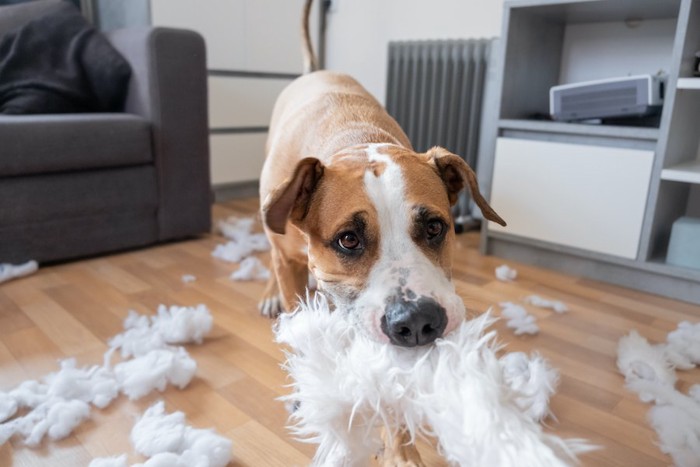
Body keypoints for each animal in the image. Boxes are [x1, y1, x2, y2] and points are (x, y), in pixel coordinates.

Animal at [260, 0, 506, 464]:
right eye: (348, 239)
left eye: (434, 227)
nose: (418, 322)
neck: (353, 141)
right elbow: (299, 328)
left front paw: (402, 451)